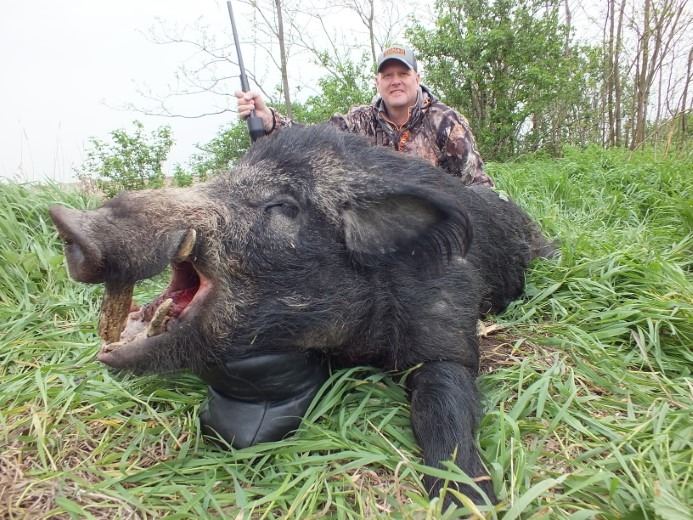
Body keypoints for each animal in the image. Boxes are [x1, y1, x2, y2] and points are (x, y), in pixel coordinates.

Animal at [50, 125, 553, 506]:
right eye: (221, 177)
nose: (71, 222)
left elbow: (443, 400)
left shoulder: (448, 323)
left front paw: (469, 503)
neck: (357, 345)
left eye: (283, 206)